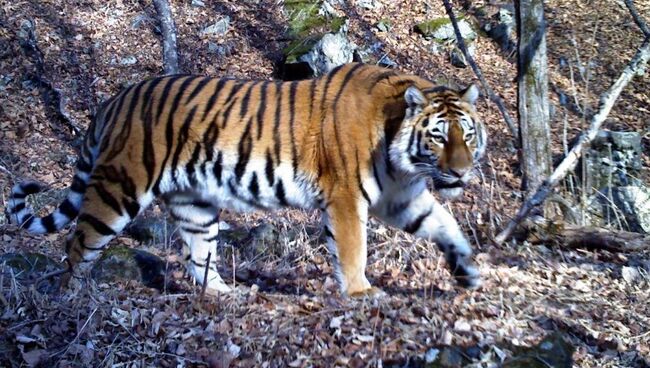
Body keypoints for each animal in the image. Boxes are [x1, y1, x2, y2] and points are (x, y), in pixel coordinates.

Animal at [7, 63, 484, 298]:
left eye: (468, 134)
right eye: (438, 136)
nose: (461, 171)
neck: (403, 160)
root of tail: (115, 99)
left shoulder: (400, 198)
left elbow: (446, 226)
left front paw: (470, 273)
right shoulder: (347, 197)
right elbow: (353, 250)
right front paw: (361, 293)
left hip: (195, 204)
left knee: (198, 257)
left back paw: (225, 295)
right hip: (118, 189)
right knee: (77, 245)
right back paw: (71, 302)